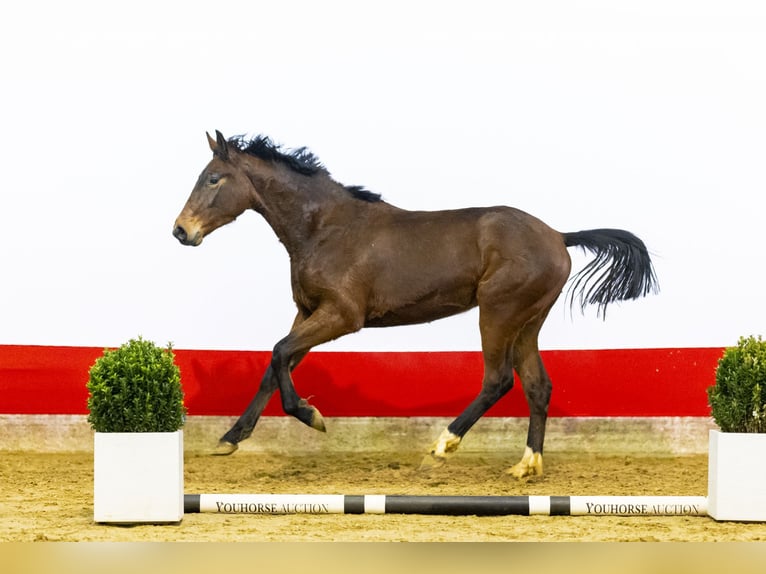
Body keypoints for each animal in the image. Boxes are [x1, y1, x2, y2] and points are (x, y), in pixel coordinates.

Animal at [174, 133, 660, 480]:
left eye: (213, 178)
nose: (181, 230)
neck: (325, 229)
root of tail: (559, 236)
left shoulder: (342, 316)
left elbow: (278, 354)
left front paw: (313, 417)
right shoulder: (308, 312)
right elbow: (274, 366)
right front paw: (230, 438)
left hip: (498, 313)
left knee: (498, 380)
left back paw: (441, 447)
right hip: (528, 321)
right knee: (537, 385)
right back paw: (526, 465)